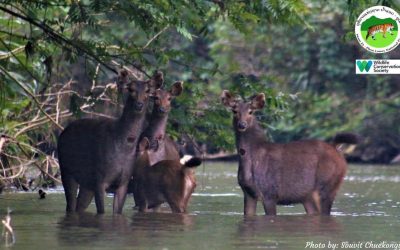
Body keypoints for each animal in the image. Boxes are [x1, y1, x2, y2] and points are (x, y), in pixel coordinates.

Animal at [57, 69, 163, 214]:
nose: (139, 104)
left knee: (80, 205)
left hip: (86, 182)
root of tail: (62, 133)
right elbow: (101, 211)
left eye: (147, 91)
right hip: (66, 169)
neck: (125, 145)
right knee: (71, 205)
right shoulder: (100, 179)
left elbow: (117, 212)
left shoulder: (124, 182)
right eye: (130, 89)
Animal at [220, 91, 358, 216]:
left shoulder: (270, 192)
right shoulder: (248, 193)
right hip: (308, 196)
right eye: (234, 111)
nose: (242, 124)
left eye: (251, 111)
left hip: (326, 185)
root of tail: (335, 147)